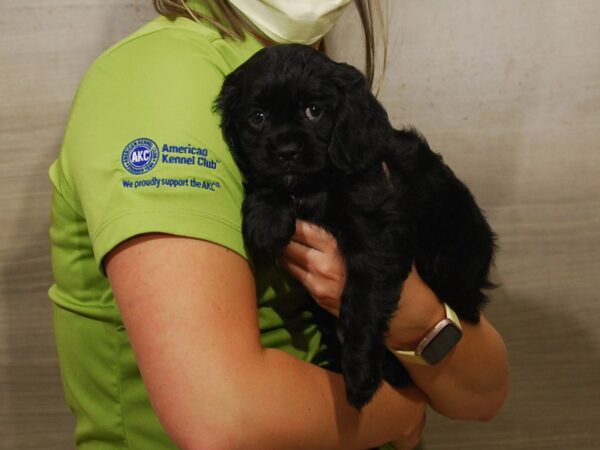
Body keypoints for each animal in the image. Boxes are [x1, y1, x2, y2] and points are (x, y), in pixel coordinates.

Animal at [216, 44, 496, 410]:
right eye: (258, 117)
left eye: (314, 110)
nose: (287, 151)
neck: (320, 183)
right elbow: (268, 179)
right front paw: (266, 218)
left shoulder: (376, 235)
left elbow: (362, 302)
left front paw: (360, 377)